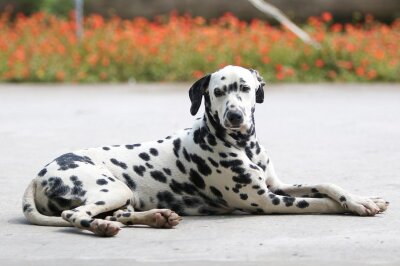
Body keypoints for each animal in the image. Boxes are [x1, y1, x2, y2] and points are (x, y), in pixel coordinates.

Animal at [21, 65, 388, 237]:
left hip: (123, 196)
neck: (242, 145)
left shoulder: (277, 186)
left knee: (116, 214)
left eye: (245, 88)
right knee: (76, 216)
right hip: (111, 189)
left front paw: (362, 199)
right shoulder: (266, 200)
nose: (235, 116)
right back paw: (102, 228)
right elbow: (319, 203)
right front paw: (353, 207)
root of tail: (39, 175)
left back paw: (156, 217)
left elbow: (327, 185)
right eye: (218, 92)